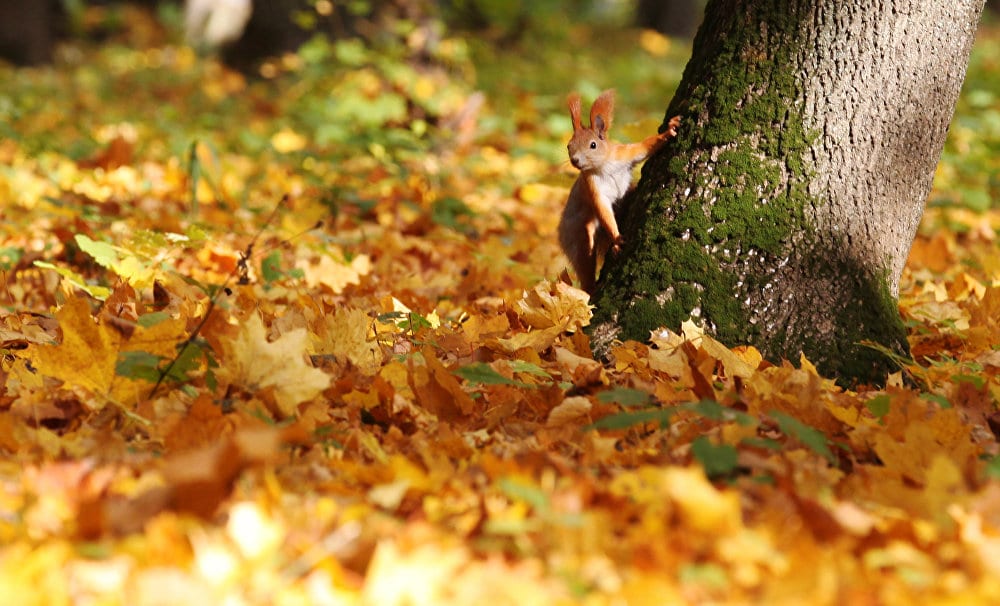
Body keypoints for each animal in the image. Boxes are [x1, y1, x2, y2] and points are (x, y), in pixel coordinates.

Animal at [556, 90, 680, 296]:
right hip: (578, 235)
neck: (603, 166)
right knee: (585, 262)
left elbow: (645, 147)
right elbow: (603, 209)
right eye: (568, 145)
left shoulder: (624, 154)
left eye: (593, 145)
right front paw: (617, 238)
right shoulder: (592, 186)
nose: (575, 160)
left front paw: (669, 130)